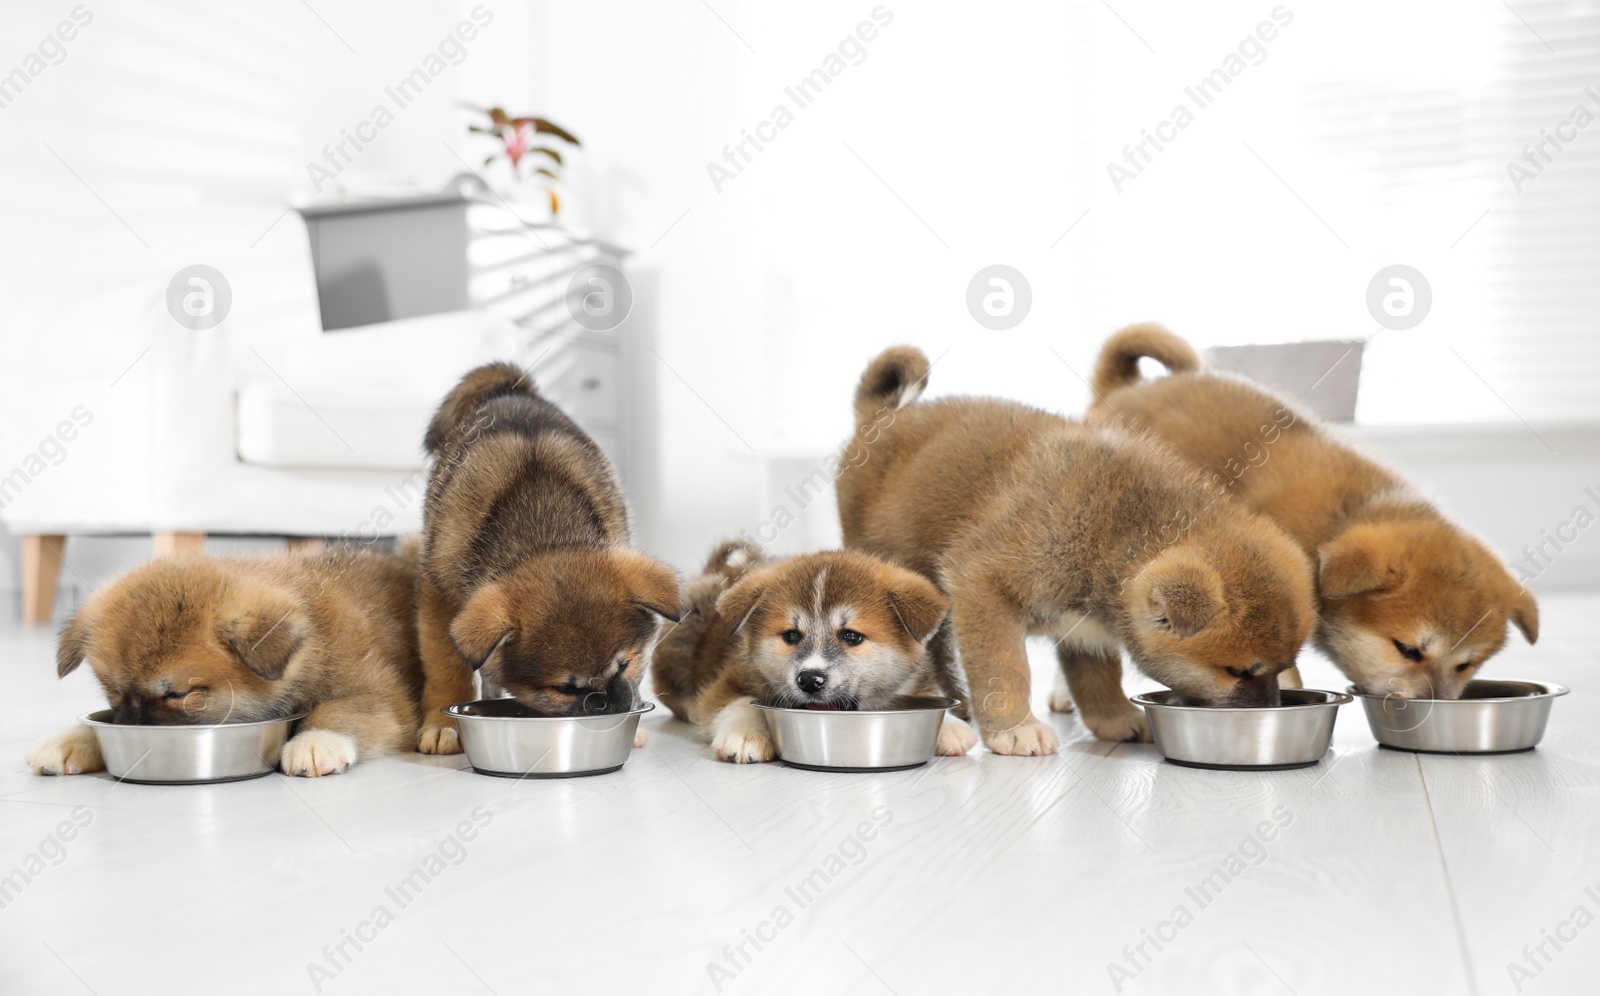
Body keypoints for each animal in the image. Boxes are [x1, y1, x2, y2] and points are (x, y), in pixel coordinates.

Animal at [27, 547, 425, 781]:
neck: (312, 643)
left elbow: (340, 711)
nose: (133, 729)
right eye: (113, 691)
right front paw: (73, 739)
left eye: (179, 694)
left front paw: (316, 741)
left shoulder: (383, 697)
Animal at [409, 360, 678, 755]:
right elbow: (446, 666)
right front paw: (444, 724)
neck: (544, 537)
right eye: (564, 688)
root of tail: (515, 392)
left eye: (623, 664)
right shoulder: (438, 596)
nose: (612, 709)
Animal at [649, 538, 972, 765]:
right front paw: (746, 733)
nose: (809, 680)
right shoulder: (730, 679)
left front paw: (949, 726)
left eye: (851, 636)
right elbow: (741, 704)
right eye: (791, 635)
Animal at [832, 347, 1318, 752]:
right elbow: (1005, 671)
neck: (1114, 528)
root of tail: (879, 419)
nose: (1272, 711)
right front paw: (1014, 729)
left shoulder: (1085, 629)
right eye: (1238, 671)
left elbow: (1095, 676)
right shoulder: (983, 586)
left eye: (1285, 666)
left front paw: (1114, 717)